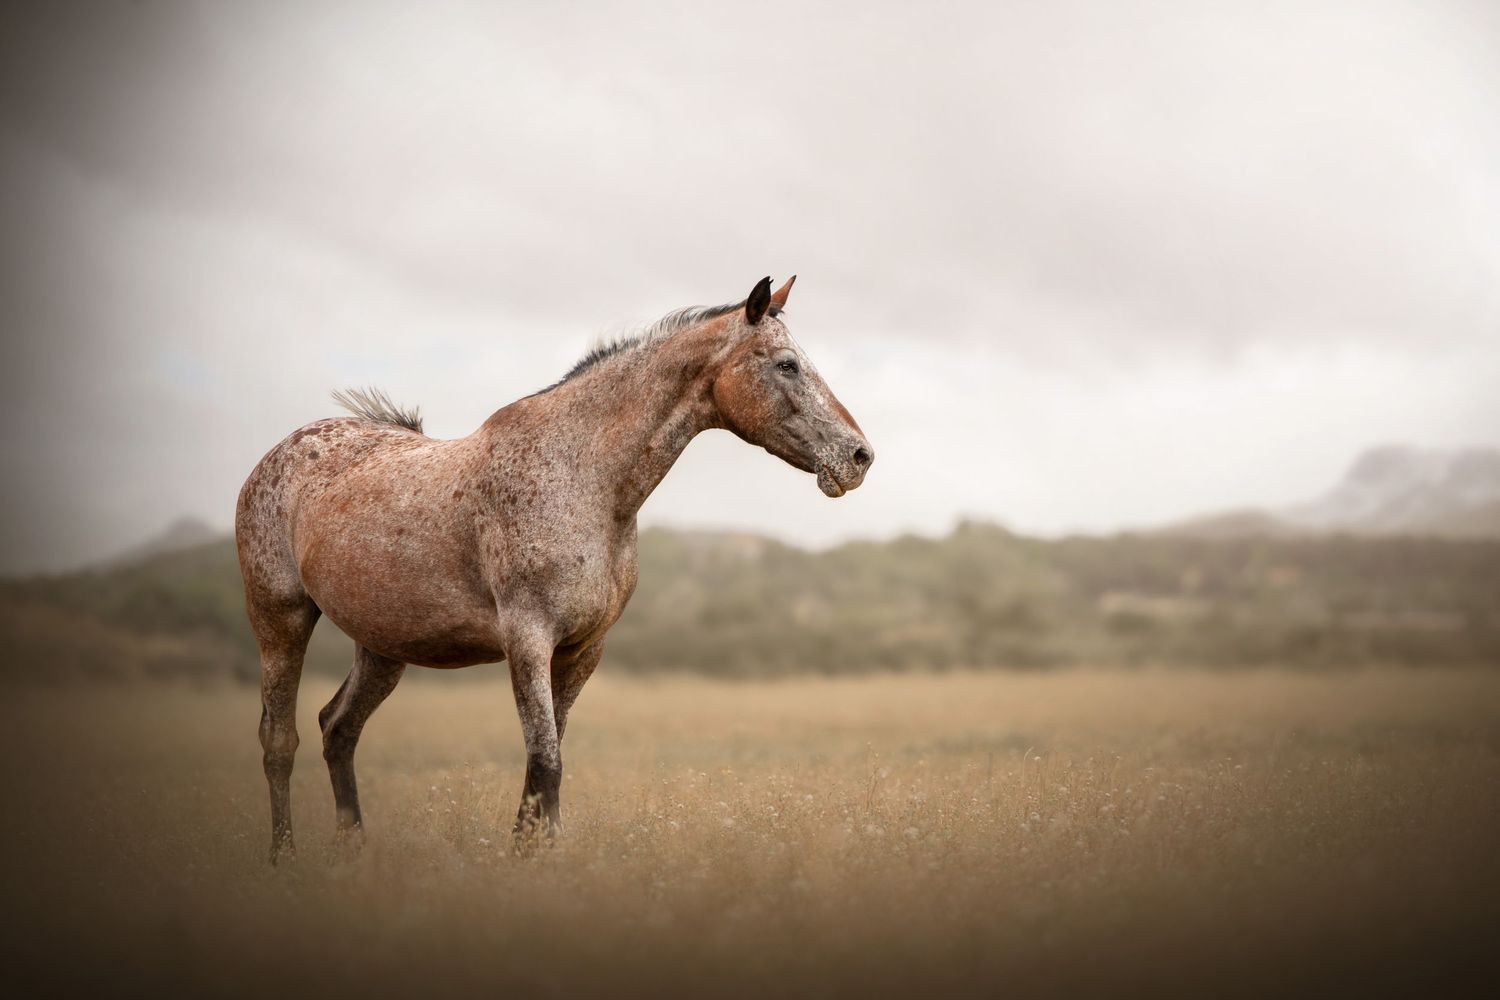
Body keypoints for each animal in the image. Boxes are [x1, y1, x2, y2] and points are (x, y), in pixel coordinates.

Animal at [235, 275, 874, 862]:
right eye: (787, 365)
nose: (859, 457)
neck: (582, 479)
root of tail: (277, 457)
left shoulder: (581, 650)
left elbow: (542, 764)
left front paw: (529, 856)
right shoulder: (528, 640)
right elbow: (546, 762)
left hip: (382, 648)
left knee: (338, 728)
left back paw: (354, 850)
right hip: (281, 622)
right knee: (280, 739)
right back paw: (284, 858)